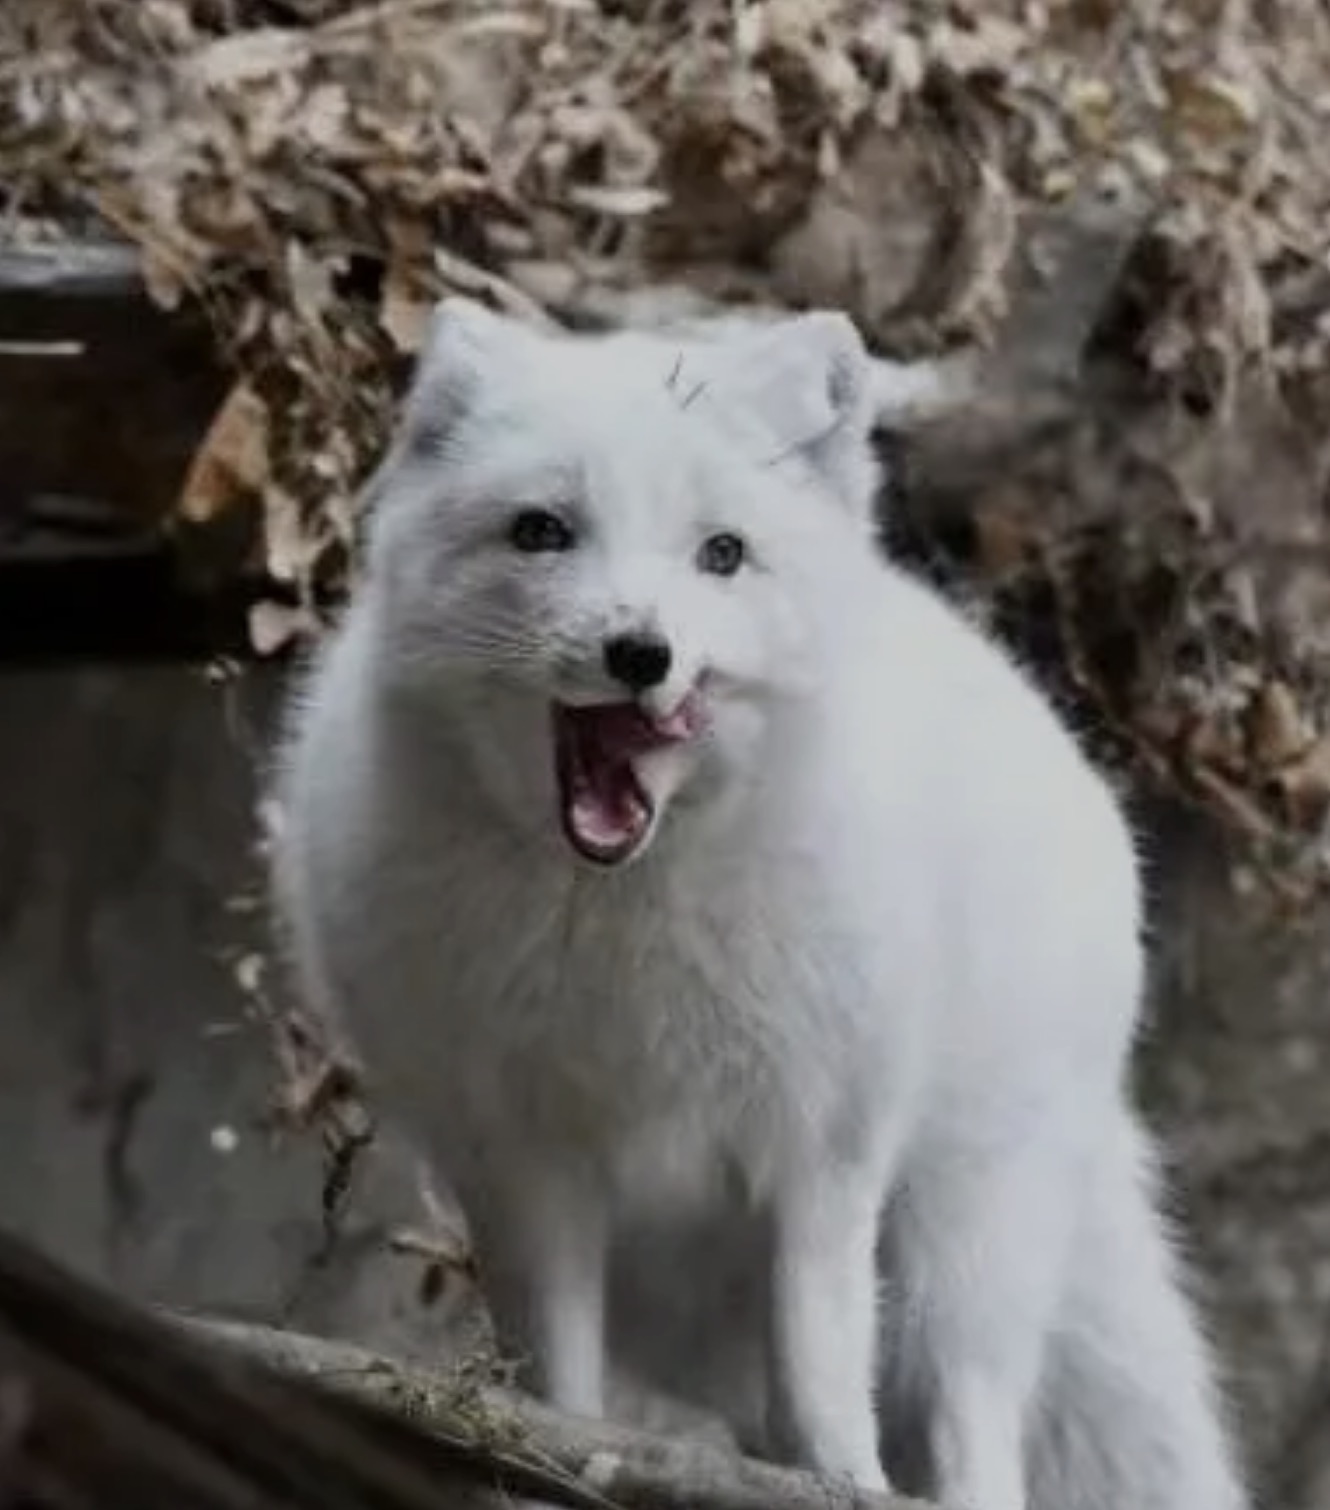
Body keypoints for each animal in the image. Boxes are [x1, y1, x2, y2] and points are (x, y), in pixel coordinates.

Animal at [270, 297, 1243, 1510]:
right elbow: (561, 1383)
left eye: (721, 554)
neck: (626, 920)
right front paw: (544, 1456)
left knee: (974, 1426)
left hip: (965, 1234)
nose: (639, 652)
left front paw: (845, 1478)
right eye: (541, 531)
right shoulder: (527, 1163)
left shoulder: (823, 1145)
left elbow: (827, 1369)